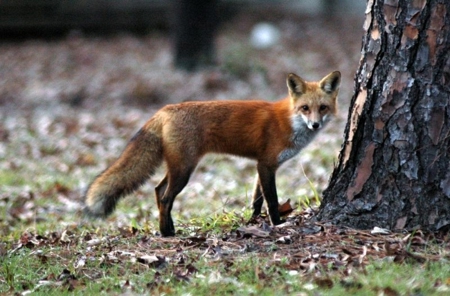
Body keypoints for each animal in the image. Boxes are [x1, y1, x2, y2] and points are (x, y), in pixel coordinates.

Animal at [83, 70, 342, 237]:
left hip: (178, 167)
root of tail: (165, 109)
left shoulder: (262, 165)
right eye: (305, 108)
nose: (315, 125)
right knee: (166, 197)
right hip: (185, 170)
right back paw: (166, 233)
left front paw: (253, 222)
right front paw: (277, 225)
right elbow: (271, 200)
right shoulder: (267, 165)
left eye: (323, 108)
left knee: (158, 190)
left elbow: (256, 200)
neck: (289, 120)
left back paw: (168, 227)